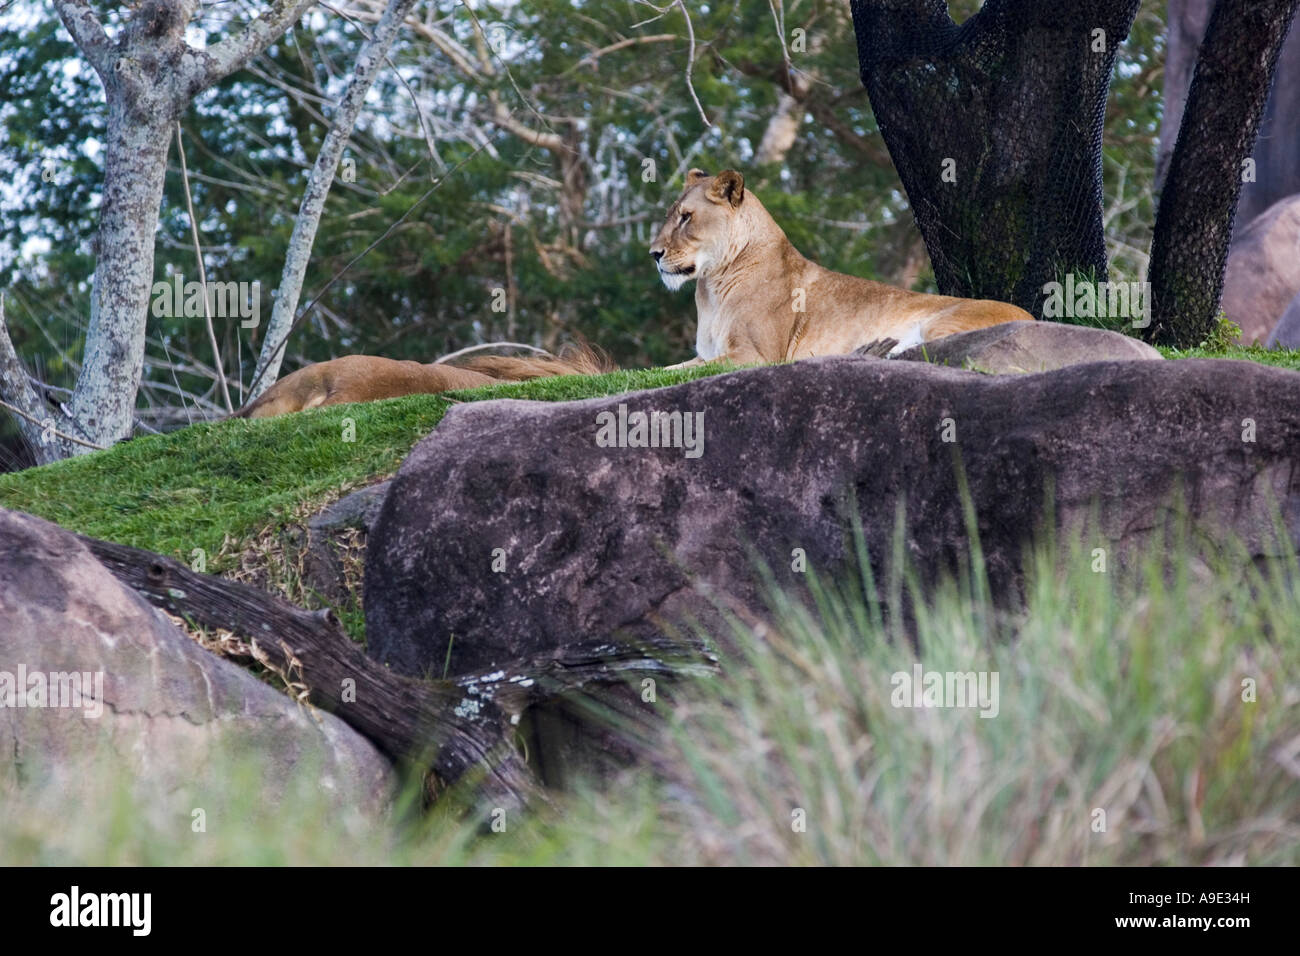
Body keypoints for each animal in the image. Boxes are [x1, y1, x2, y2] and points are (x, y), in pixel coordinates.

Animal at [231, 170, 1024, 416]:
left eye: (685, 217)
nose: (652, 253)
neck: (712, 286)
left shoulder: (757, 354)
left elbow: (683, 370)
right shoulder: (711, 348)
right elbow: (668, 366)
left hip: (948, 315)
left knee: (928, 345)